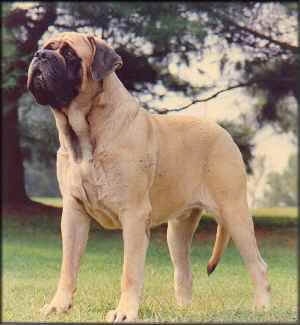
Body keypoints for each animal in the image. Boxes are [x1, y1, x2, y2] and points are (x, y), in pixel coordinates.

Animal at [27, 31, 272, 320]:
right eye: (46, 47)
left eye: (68, 53)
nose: (39, 55)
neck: (85, 133)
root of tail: (224, 132)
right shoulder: (73, 214)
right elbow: (68, 267)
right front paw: (58, 305)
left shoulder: (133, 214)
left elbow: (130, 271)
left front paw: (125, 312)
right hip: (177, 231)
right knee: (184, 272)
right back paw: (183, 310)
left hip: (234, 213)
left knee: (257, 264)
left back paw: (262, 306)